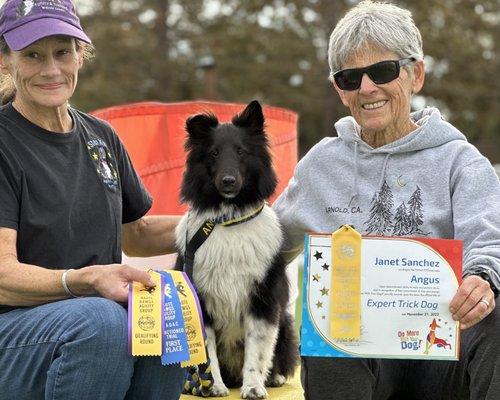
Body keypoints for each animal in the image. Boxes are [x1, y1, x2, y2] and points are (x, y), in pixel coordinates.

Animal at [175, 101, 296, 398]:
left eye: (241, 151)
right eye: (214, 153)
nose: (228, 181)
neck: (229, 219)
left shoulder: (262, 301)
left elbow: (257, 350)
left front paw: (253, 386)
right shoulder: (201, 300)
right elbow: (208, 351)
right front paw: (212, 385)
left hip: (286, 322)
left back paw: (273, 378)